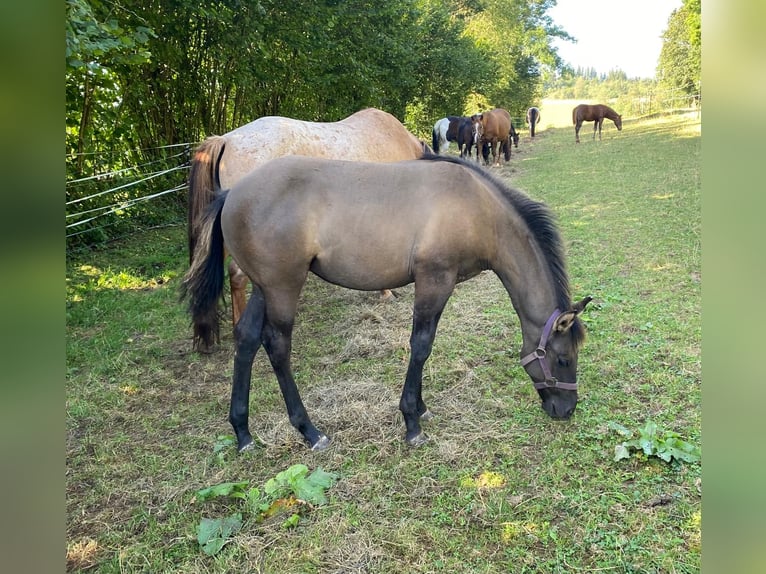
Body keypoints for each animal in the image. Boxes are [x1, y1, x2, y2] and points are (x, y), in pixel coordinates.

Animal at [182, 154, 592, 454]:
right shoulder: (434, 280)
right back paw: (310, 431)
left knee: (248, 338)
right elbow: (421, 345)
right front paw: (411, 421)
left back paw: (242, 432)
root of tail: (231, 193)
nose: (566, 410)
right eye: (563, 359)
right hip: (283, 287)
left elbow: (425, 345)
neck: (477, 211)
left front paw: (421, 408)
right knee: (277, 345)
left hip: (264, 287)